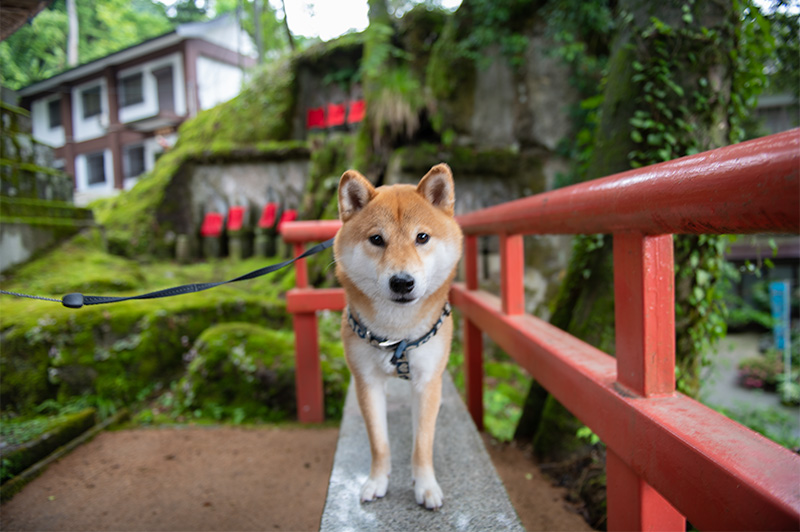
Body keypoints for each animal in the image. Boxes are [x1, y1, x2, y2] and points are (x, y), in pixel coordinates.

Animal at [334, 163, 466, 512]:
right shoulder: (367, 381)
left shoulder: (426, 380)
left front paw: (426, 486)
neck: (396, 336)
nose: (402, 282)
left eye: (422, 237)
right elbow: (379, 443)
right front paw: (377, 481)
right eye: (377, 239)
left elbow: (423, 443)